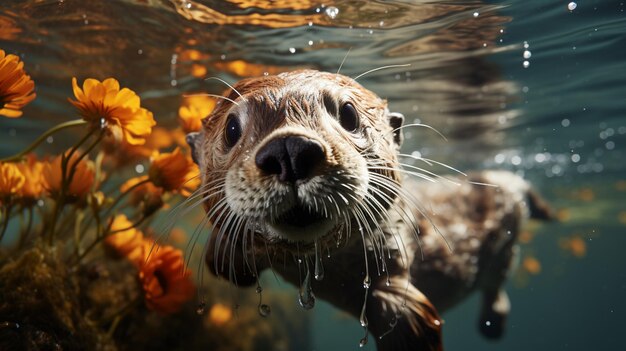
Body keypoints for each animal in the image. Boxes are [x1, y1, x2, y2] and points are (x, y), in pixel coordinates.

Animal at [186, 69, 552, 351]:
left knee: (497, 277)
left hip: (506, 236)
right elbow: (224, 257)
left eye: (348, 113)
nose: (289, 148)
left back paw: (493, 322)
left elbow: (403, 311)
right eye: (232, 128)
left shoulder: (393, 251)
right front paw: (229, 258)